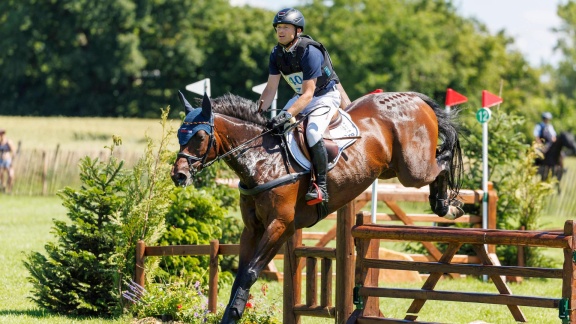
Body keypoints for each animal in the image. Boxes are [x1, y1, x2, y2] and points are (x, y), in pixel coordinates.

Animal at [170, 90, 464, 322]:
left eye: (199, 136)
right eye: (179, 135)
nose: (179, 176)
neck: (261, 160)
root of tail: (414, 97)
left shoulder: (281, 226)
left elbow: (250, 273)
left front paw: (233, 313)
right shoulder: (252, 228)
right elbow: (240, 276)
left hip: (412, 170)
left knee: (442, 160)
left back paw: (447, 206)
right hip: (390, 168)